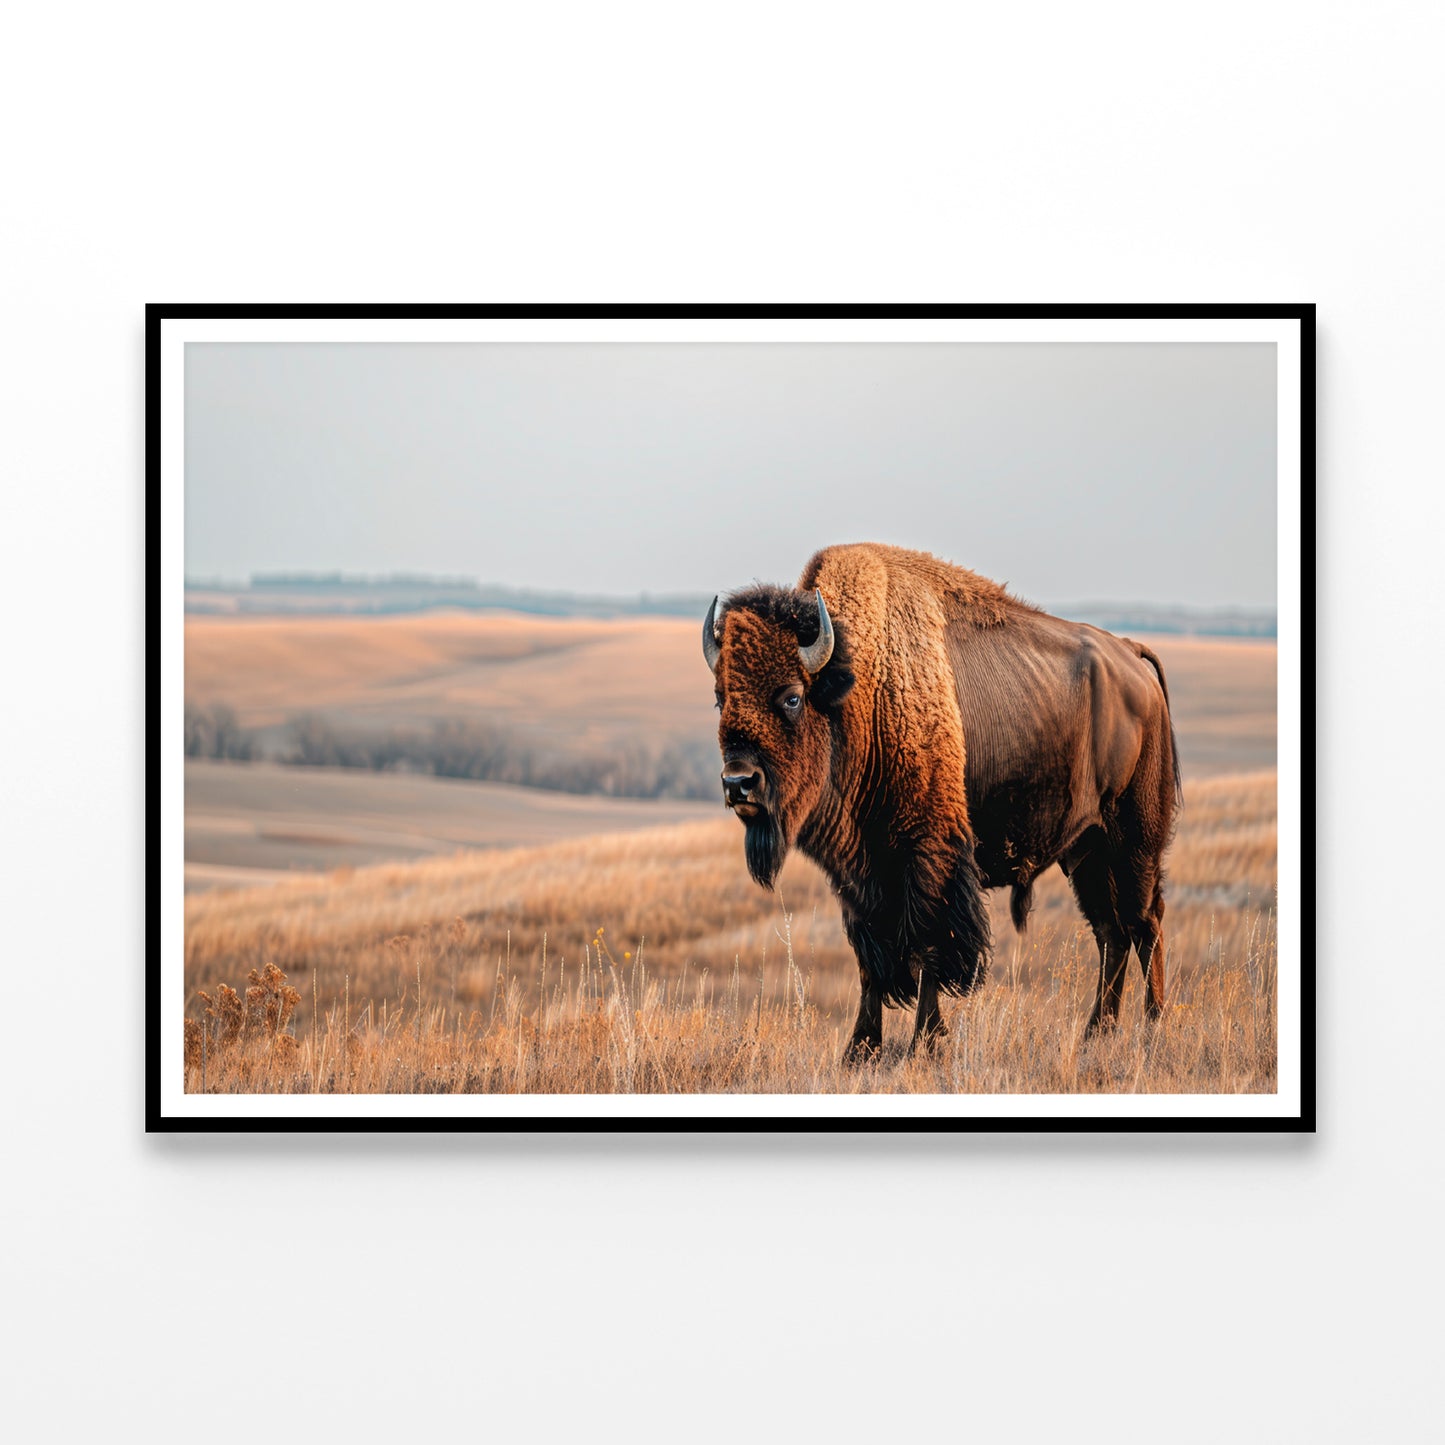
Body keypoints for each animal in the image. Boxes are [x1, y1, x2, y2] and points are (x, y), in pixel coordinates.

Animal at [702, 543, 1184, 1063]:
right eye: (721, 698)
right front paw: (859, 1050)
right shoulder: (857, 876)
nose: (738, 783)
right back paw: (1097, 1033)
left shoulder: (929, 855)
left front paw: (925, 1043)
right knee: (1110, 931)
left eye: (791, 697)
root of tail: (1131, 655)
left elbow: (929, 945)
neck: (862, 689)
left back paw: (1153, 1026)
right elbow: (868, 958)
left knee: (1144, 922)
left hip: (1134, 839)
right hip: (1086, 850)